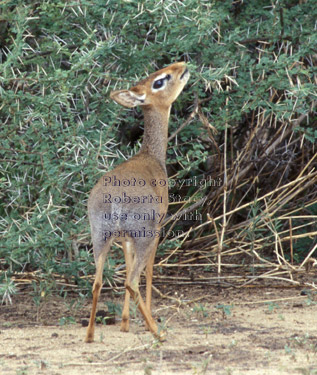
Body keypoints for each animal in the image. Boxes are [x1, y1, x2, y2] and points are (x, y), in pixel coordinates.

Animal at [84, 62, 188, 344]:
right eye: (159, 81)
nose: (182, 66)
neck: (151, 156)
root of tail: (115, 198)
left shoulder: (124, 240)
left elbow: (128, 262)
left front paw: (124, 322)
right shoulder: (157, 229)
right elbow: (149, 271)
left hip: (101, 238)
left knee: (97, 282)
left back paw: (90, 335)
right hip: (145, 235)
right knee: (131, 280)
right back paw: (158, 333)